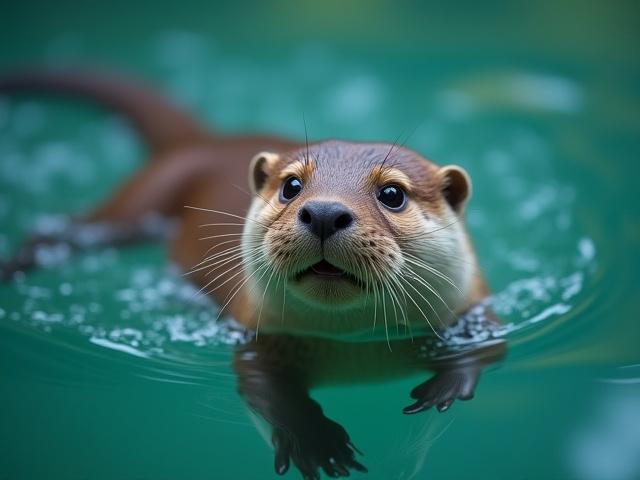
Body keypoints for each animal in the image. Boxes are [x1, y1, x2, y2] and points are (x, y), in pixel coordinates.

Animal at [0, 70, 505, 479]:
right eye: (292, 186)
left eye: (393, 193)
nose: (324, 212)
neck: (352, 349)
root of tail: (206, 140)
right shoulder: (255, 337)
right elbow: (265, 390)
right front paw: (314, 442)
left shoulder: (474, 315)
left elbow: (487, 350)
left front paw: (445, 387)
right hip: (139, 200)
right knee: (62, 229)